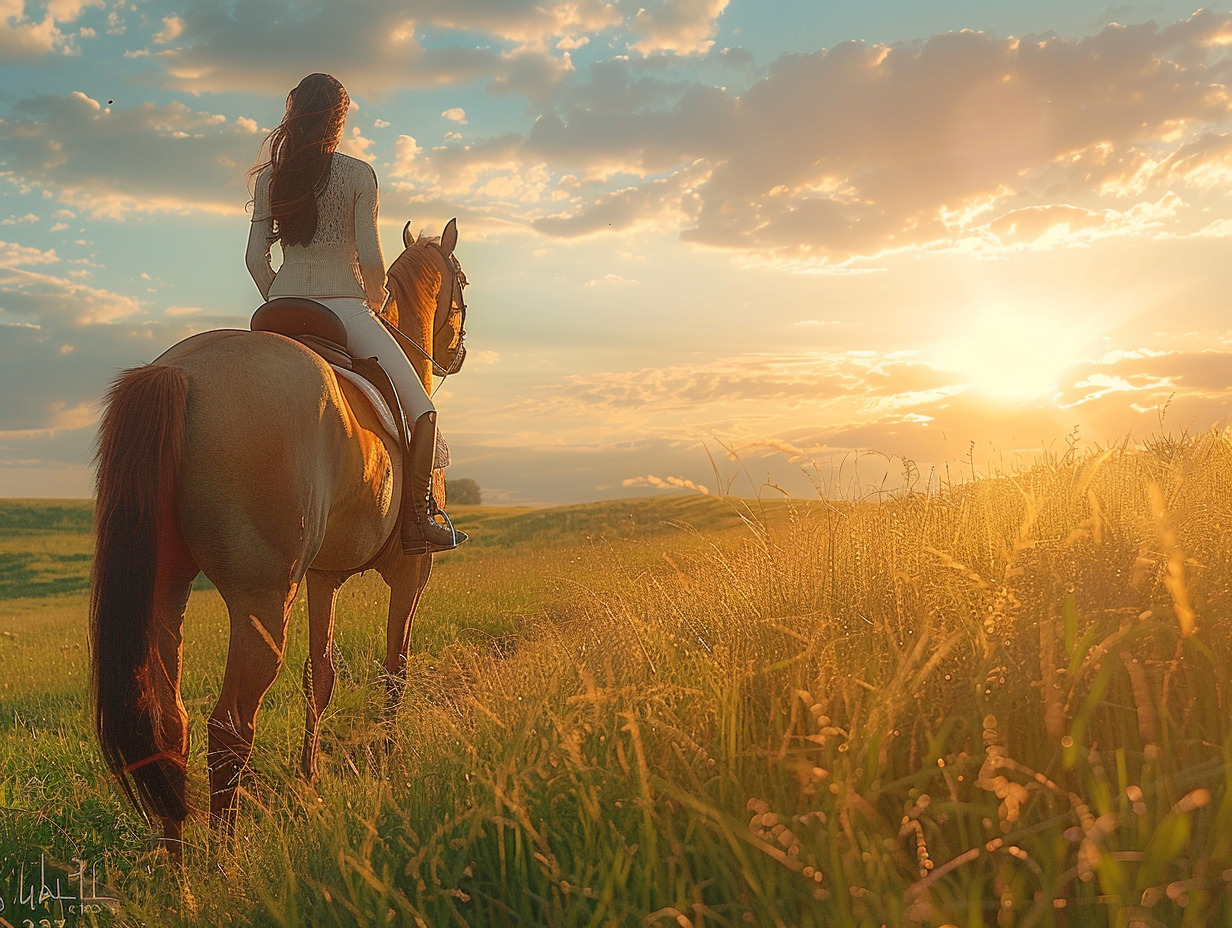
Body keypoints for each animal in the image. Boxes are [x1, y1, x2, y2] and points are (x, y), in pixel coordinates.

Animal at [89, 216, 468, 852]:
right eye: (461, 285)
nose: (456, 352)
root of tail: (186, 369)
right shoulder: (411, 572)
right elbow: (395, 668)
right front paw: (388, 763)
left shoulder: (320, 578)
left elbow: (321, 677)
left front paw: (308, 780)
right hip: (262, 600)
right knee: (229, 728)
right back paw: (224, 864)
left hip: (166, 589)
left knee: (171, 727)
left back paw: (180, 870)